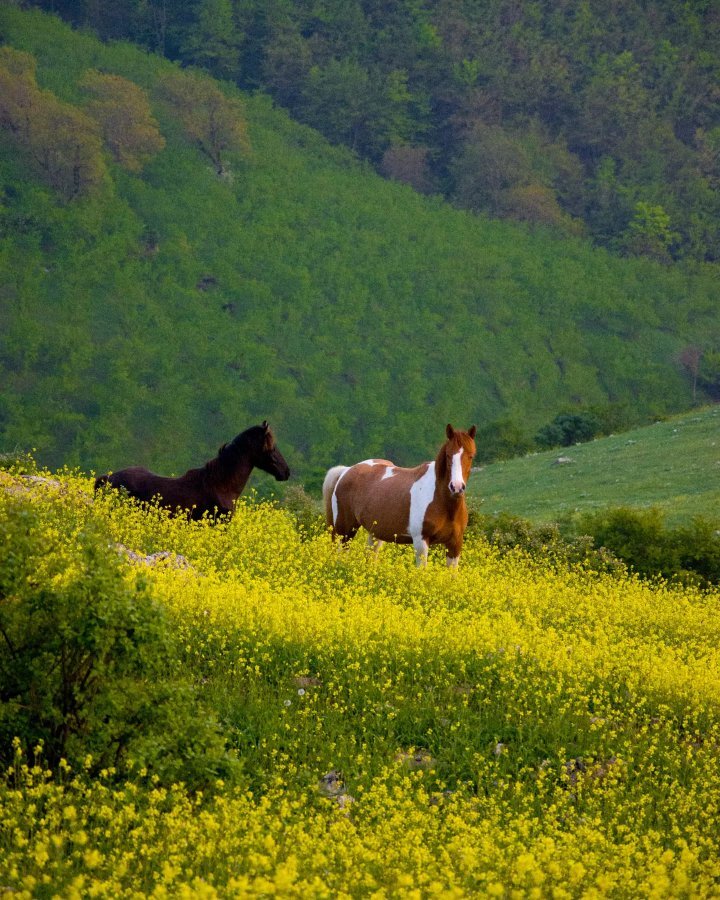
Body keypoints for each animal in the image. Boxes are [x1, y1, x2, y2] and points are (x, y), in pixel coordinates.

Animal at [324, 424, 476, 568]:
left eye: (471, 456)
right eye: (448, 455)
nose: (456, 487)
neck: (442, 502)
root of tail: (346, 471)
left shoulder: (455, 543)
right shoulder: (421, 542)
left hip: (374, 533)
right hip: (345, 532)